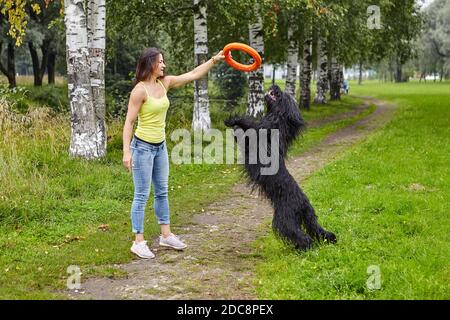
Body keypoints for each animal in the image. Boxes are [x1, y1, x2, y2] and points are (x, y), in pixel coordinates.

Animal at [223, 84, 336, 250]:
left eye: (281, 95)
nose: (275, 86)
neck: (279, 123)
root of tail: (304, 204)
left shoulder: (255, 135)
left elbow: (247, 125)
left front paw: (233, 120)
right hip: (305, 220)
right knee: (313, 232)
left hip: (283, 220)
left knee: (302, 237)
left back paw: (304, 249)